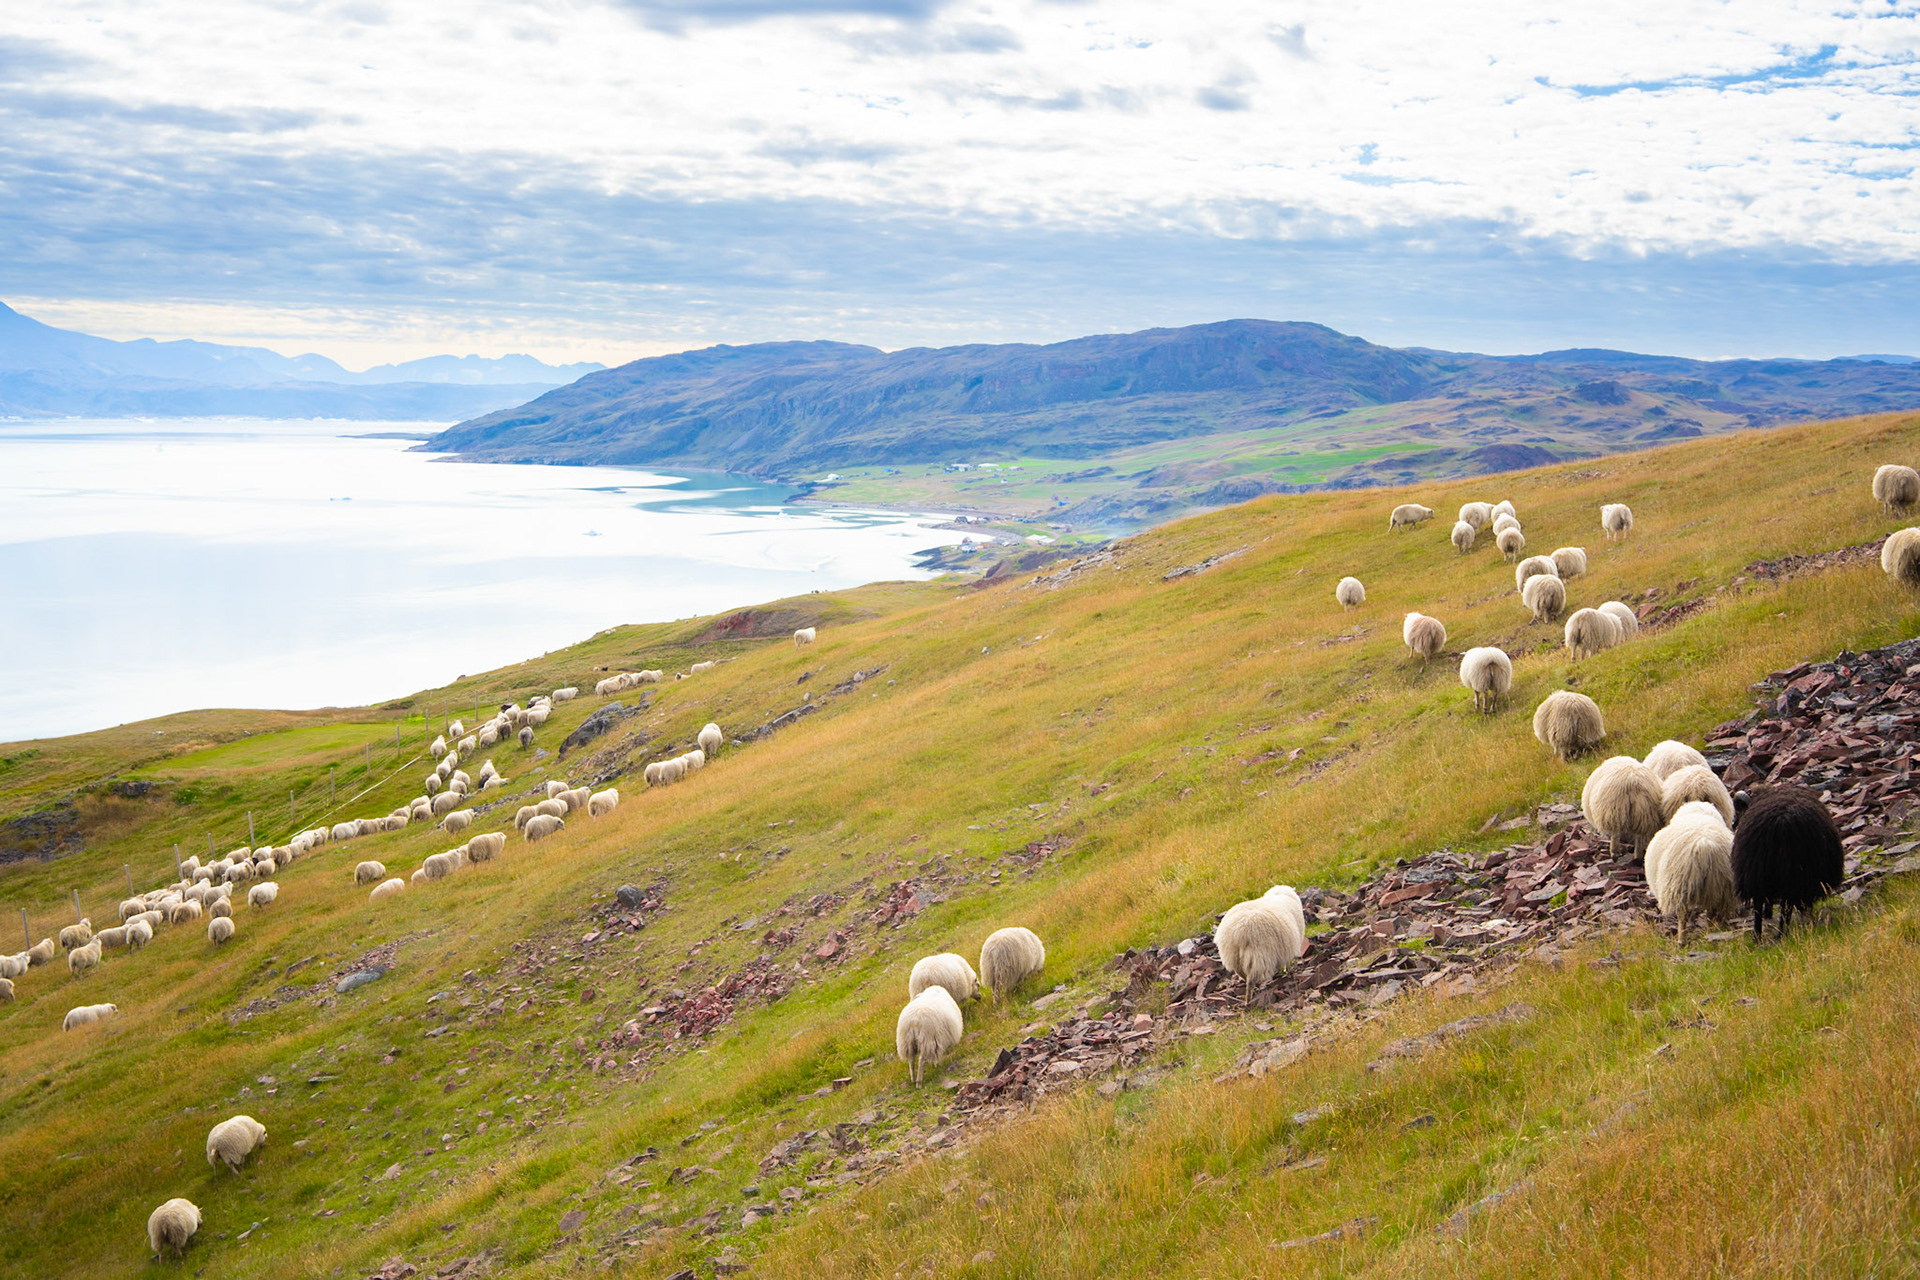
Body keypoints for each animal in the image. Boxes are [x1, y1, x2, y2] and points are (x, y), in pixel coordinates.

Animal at [1645, 801, 1738, 944]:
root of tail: (1705, 845)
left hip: (1680, 883)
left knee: (1682, 914)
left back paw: (1681, 941)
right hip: (1719, 884)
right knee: (1710, 912)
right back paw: (1709, 932)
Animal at [1730, 785, 1845, 941]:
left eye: (1738, 809)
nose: (1733, 823)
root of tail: (1783, 822)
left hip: (1762, 870)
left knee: (1763, 904)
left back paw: (1759, 936)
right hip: (1795, 874)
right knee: (1787, 905)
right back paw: (1782, 932)